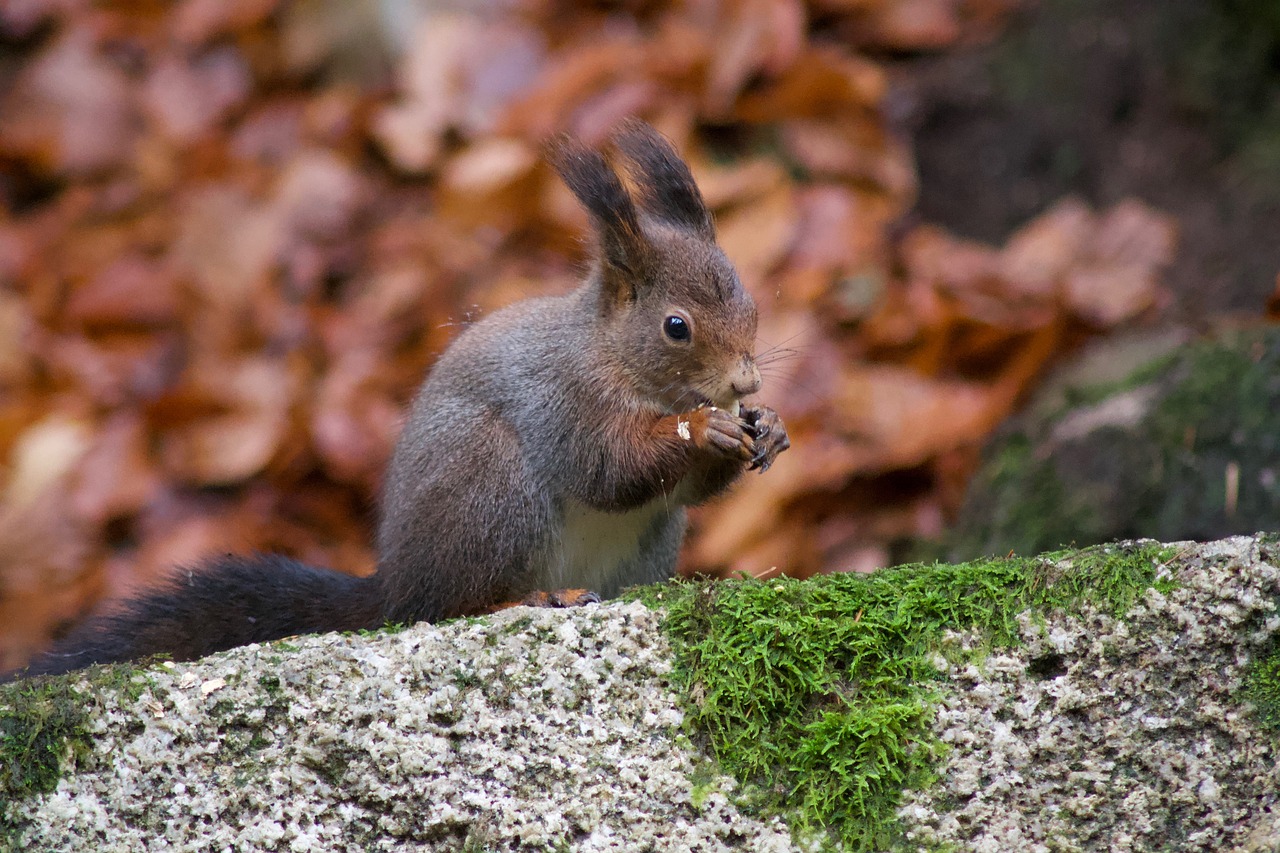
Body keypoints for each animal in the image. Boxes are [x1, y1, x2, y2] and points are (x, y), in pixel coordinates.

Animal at [7, 119, 788, 676]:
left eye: (747, 295)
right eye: (676, 326)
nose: (746, 383)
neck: (616, 357)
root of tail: (395, 584)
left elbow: (687, 489)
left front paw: (767, 428)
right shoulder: (563, 399)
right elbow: (609, 469)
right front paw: (702, 427)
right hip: (489, 489)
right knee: (448, 606)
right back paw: (530, 598)